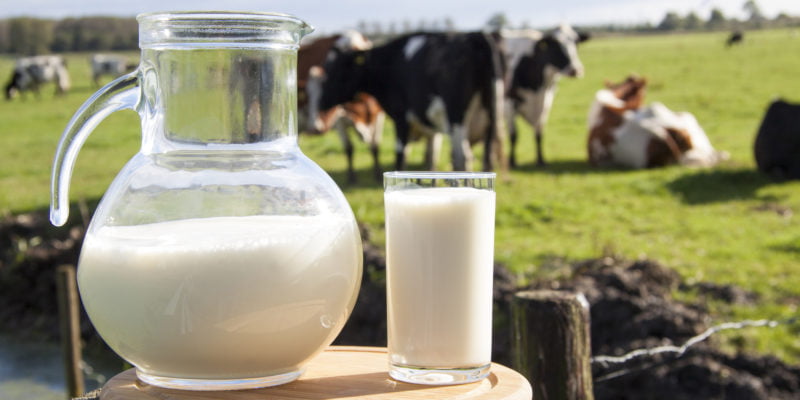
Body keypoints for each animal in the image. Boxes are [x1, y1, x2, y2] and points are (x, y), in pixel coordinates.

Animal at [300, 32, 388, 184]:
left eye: (329, 90)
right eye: (308, 95)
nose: (315, 128)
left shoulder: (379, 115)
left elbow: (375, 146)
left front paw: (377, 174)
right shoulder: (340, 120)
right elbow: (349, 148)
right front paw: (352, 178)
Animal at [310, 30, 504, 172]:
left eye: (338, 70)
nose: (322, 103)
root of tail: (476, 35)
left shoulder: (401, 117)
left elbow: (400, 155)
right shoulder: (430, 126)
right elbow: (431, 159)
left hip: (456, 115)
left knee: (462, 158)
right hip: (491, 115)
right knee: (485, 158)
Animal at [504, 23, 592, 167]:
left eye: (576, 42)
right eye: (555, 45)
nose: (576, 70)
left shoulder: (545, 103)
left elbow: (539, 133)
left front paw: (541, 160)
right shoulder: (509, 104)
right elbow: (514, 136)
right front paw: (512, 162)